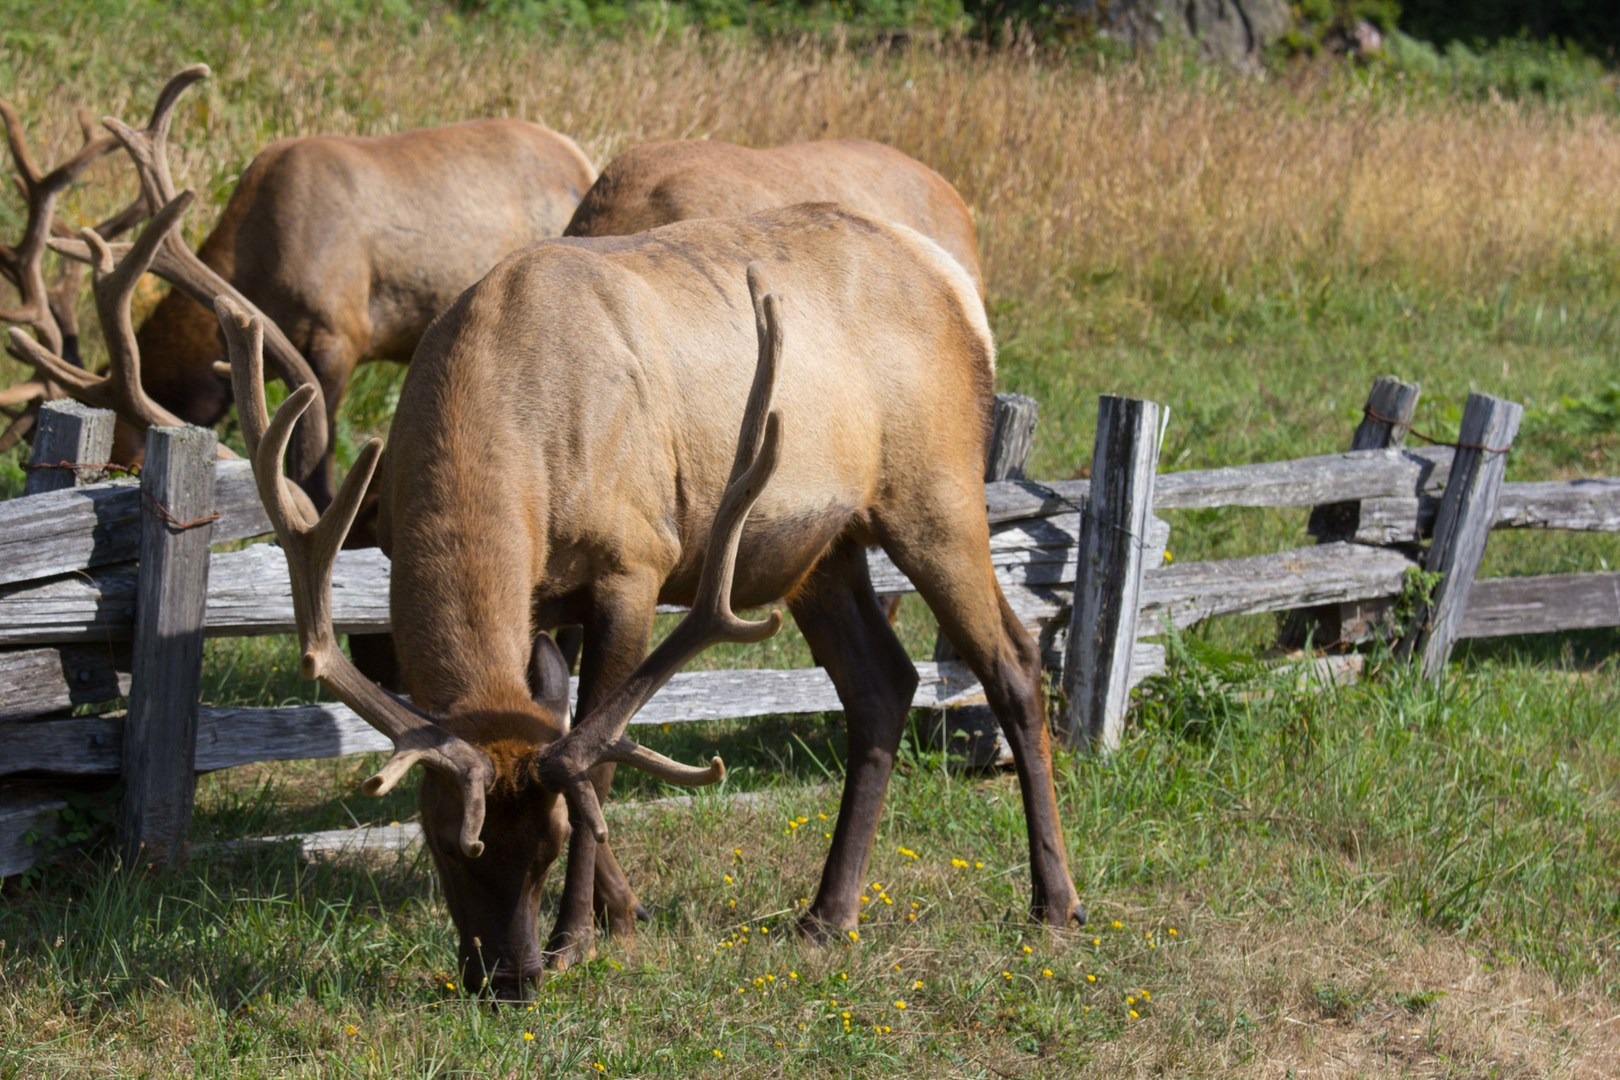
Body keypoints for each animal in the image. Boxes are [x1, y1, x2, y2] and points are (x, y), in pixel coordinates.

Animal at [221, 200, 1082, 997]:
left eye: (546, 848)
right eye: (442, 843)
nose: (509, 980)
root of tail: (957, 284)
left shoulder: (631, 565)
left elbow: (593, 767)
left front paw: (578, 938)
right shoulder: (540, 601)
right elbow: (568, 739)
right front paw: (625, 912)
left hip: (937, 493)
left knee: (1011, 660)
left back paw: (1056, 902)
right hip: (820, 548)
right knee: (882, 683)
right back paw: (828, 914)